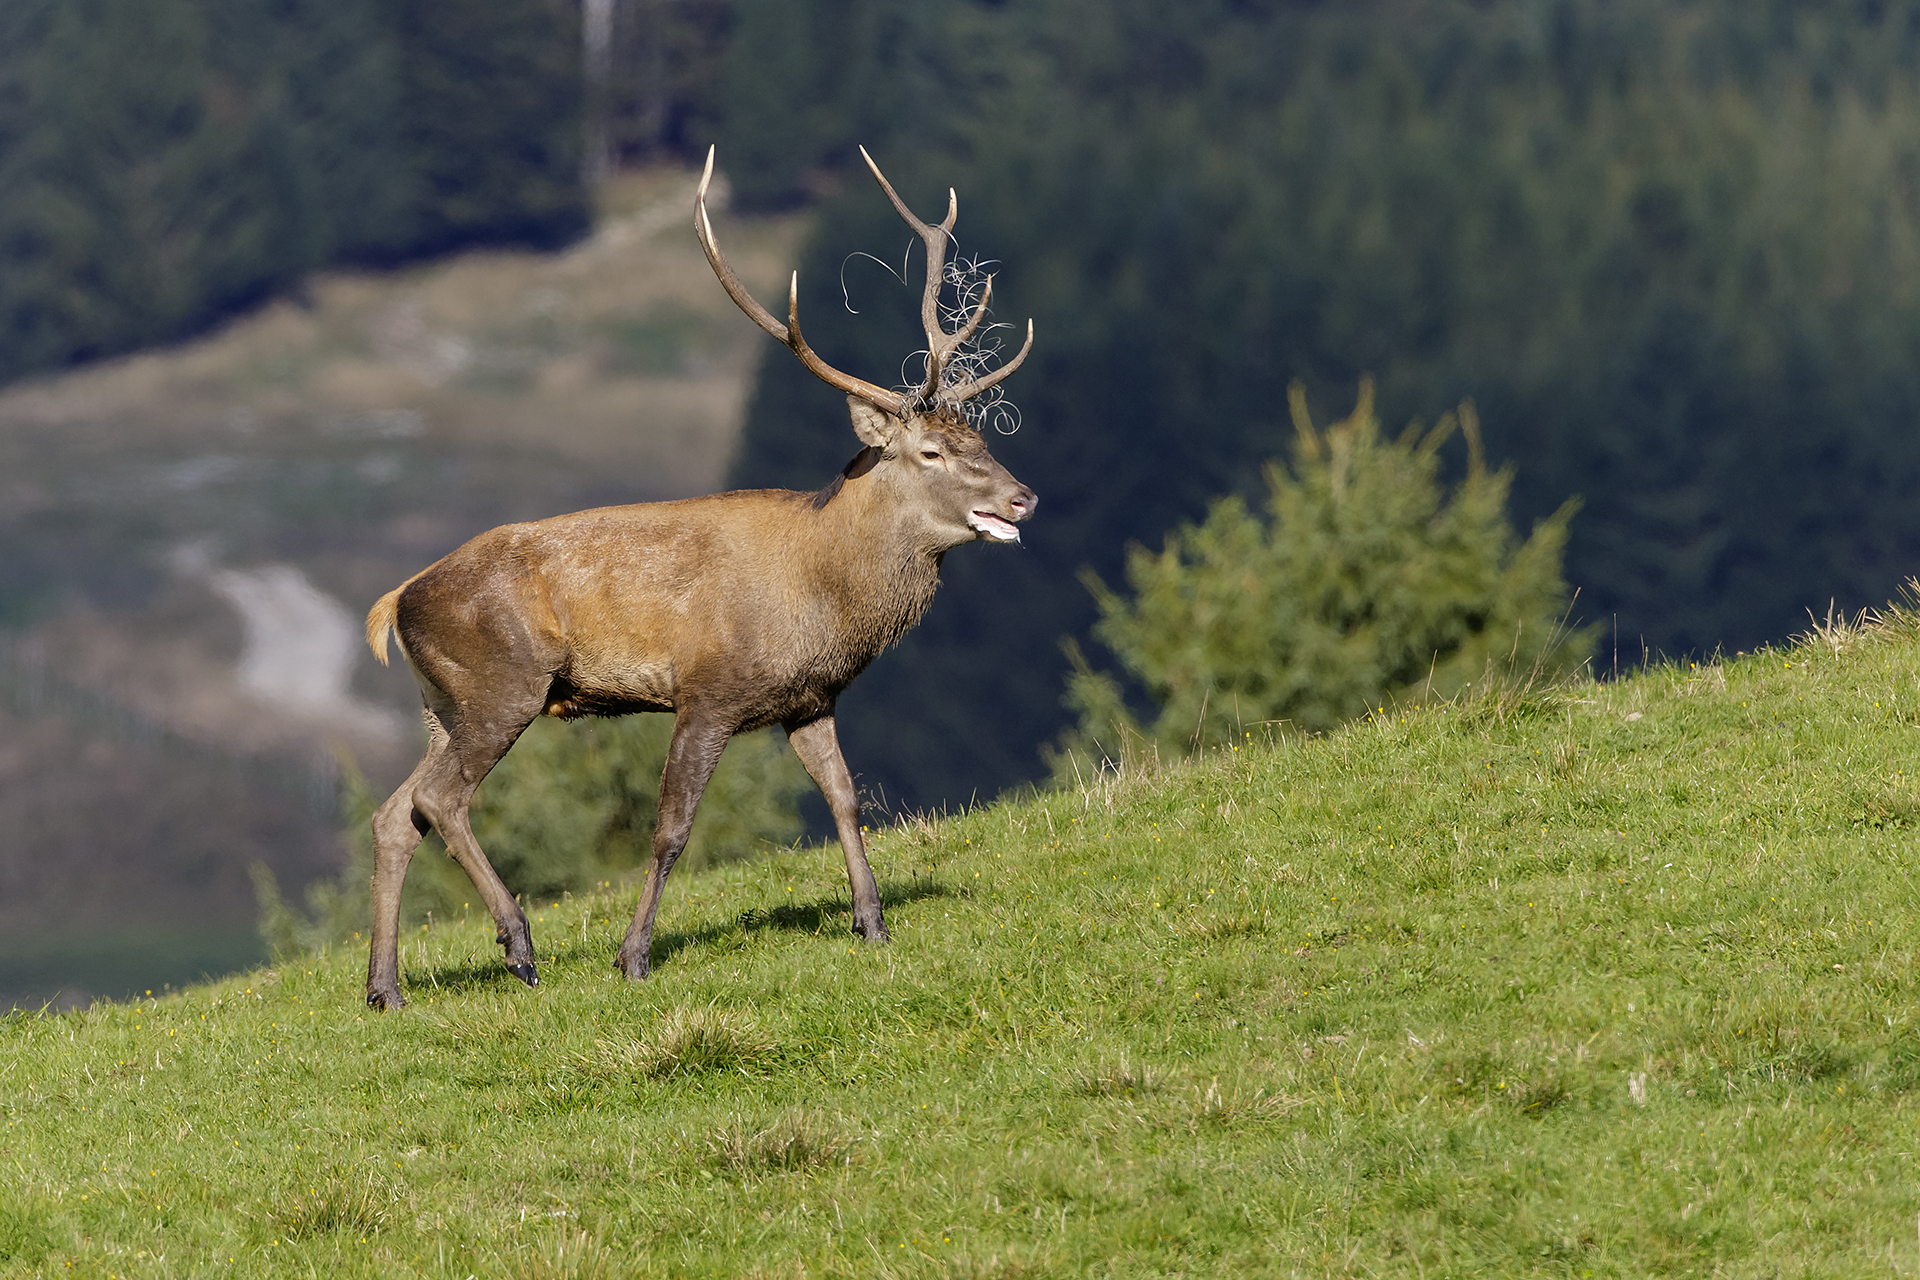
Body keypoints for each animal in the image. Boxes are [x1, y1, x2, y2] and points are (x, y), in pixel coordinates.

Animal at [358, 146, 1036, 1010]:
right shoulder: (709, 690)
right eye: (932, 452)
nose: (1024, 496)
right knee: (437, 799)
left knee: (393, 813)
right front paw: (633, 956)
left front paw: (873, 922)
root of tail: (393, 603)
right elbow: (672, 828)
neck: (822, 594)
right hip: (504, 682)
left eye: (980, 438)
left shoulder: (810, 698)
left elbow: (845, 799)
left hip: (442, 702)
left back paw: (385, 989)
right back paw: (518, 946)